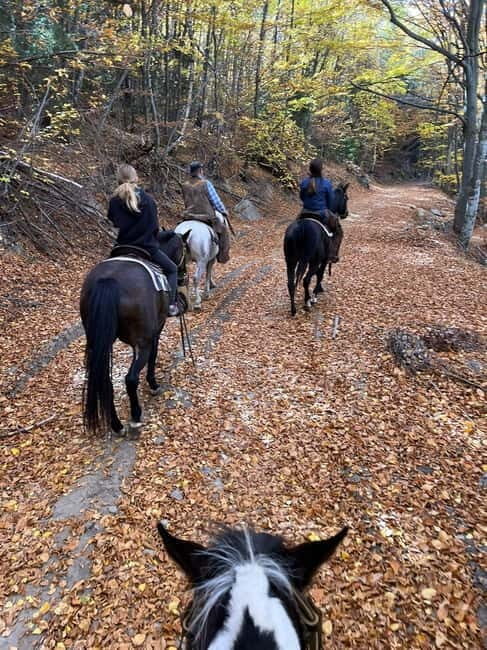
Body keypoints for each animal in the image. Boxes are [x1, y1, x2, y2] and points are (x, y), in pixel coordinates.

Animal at [79, 230, 190, 435]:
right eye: (184, 249)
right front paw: (153, 384)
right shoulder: (155, 332)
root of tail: (109, 280)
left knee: (105, 382)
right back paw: (136, 416)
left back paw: (116, 425)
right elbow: (153, 356)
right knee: (130, 378)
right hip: (143, 341)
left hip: (98, 342)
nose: (182, 276)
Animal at [284, 183, 349, 316]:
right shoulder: (323, 261)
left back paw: (293, 310)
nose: (346, 213)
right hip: (313, 261)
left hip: (291, 261)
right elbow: (320, 275)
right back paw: (308, 302)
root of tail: (301, 228)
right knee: (306, 279)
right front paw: (316, 294)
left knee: (291, 283)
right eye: (346, 198)